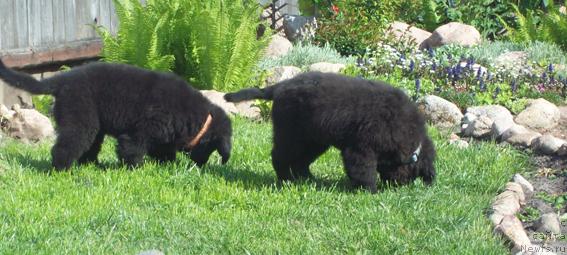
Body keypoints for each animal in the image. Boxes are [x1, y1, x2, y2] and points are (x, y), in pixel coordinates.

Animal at [0, 60, 233, 169]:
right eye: (212, 147)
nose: (200, 166)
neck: (198, 118)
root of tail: (61, 80)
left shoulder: (162, 136)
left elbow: (163, 151)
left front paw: (166, 165)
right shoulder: (140, 132)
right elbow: (132, 149)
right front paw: (135, 169)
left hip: (93, 127)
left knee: (88, 148)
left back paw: (91, 165)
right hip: (81, 121)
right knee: (65, 147)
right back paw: (61, 169)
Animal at [225, 70, 434, 192]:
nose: (397, 187)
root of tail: (281, 86)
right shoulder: (360, 149)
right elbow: (364, 170)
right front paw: (370, 190)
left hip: (313, 140)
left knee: (301, 162)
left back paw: (308, 179)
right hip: (291, 135)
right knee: (280, 157)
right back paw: (285, 179)